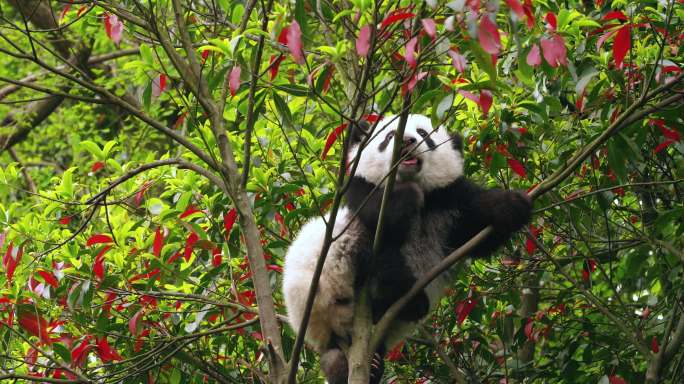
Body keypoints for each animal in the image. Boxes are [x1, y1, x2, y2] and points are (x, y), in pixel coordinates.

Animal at [280, 115, 532, 384]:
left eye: (423, 133)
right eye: (389, 136)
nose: (408, 141)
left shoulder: (448, 199)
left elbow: (477, 229)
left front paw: (511, 205)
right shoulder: (360, 188)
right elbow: (377, 214)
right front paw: (407, 197)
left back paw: (365, 362)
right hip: (324, 277)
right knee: (376, 249)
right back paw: (397, 293)